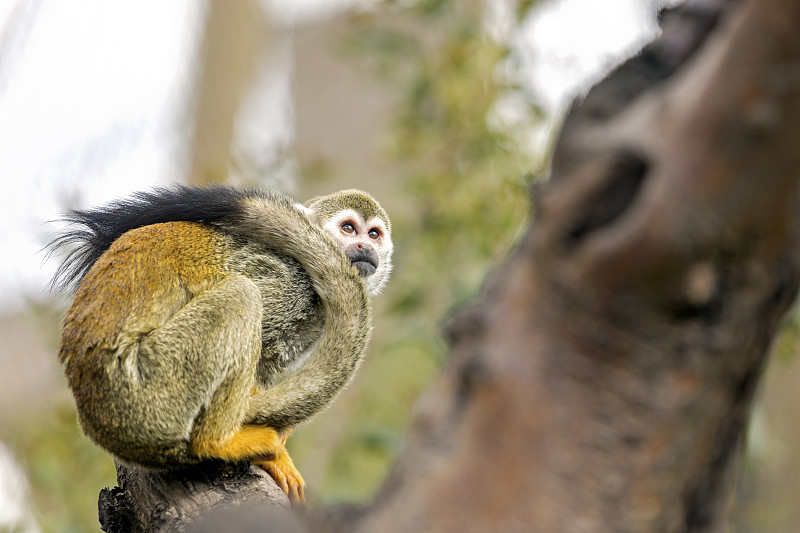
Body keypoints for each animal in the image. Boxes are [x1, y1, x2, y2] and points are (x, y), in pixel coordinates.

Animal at [48, 186, 392, 502]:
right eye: (348, 228)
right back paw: (219, 441)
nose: (364, 246)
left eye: (374, 234)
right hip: (147, 386)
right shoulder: (286, 278)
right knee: (242, 294)